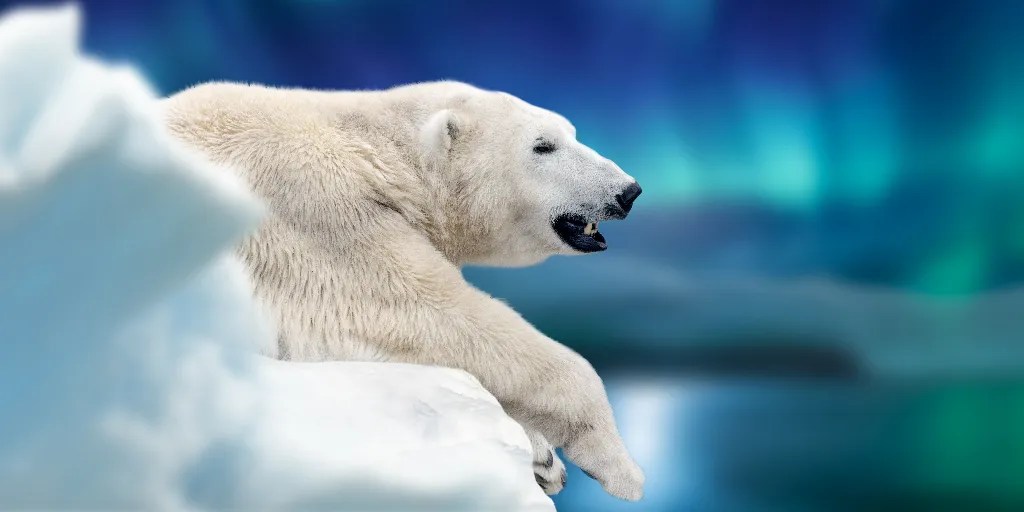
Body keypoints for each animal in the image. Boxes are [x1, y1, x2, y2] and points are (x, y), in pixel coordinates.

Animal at [163, 80, 645, 501]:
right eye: (542, 145)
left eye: (571, 133)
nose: (628, 191)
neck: (374, 152)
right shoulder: (315, 210)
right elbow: (422, 312)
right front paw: (619, 466)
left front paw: (543, 459)